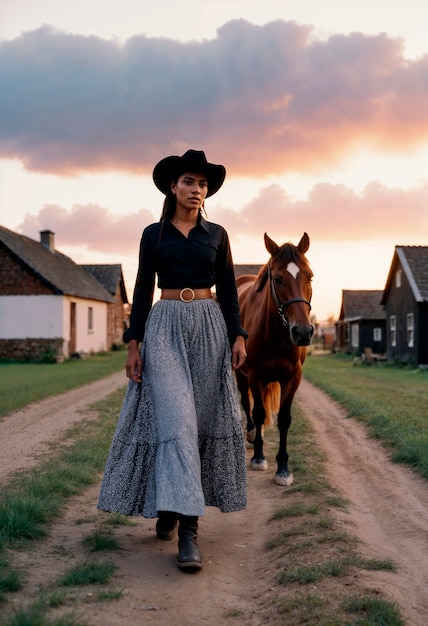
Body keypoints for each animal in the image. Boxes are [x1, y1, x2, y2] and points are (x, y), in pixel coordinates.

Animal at [236, 232, 312, 486]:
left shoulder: (292, 379)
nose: (303, 332)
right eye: (278, 279)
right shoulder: (256, 376)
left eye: (310, 276)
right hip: (240, 374)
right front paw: (259, 458)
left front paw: (283, 469)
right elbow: (259, 413)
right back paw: (251, 434)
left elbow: (284, 419)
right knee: (246, 403)